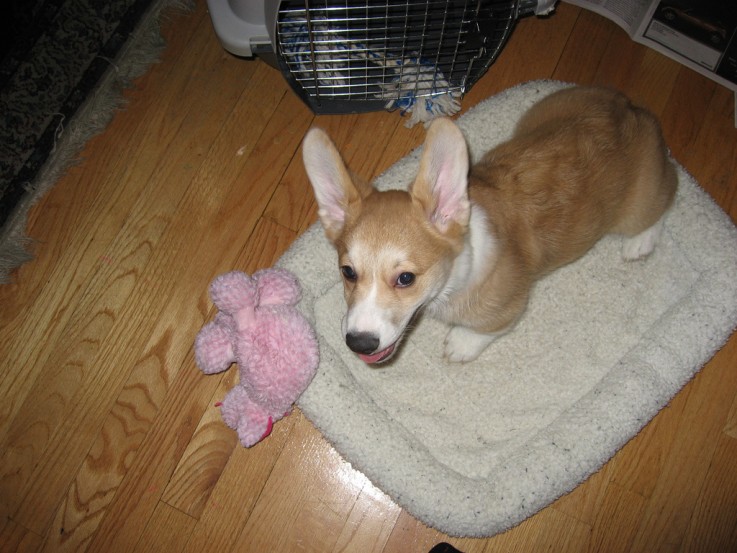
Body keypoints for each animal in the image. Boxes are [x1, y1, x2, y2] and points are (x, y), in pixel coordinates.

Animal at [302, 86, 676, 362]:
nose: (359, 344)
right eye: (347, 272)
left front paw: (460, 344)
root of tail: (629, 109)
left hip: (639, 201)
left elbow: (483, 330)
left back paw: (641, 242)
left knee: (666, 192)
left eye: (406, 278)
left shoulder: (508, 308)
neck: (454, 275)